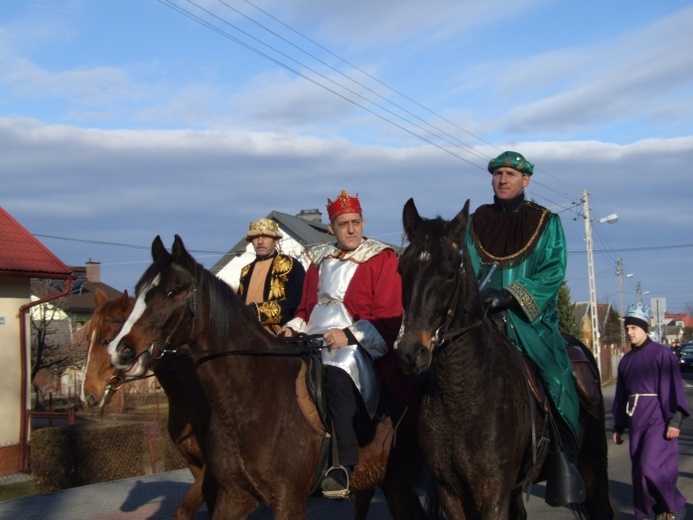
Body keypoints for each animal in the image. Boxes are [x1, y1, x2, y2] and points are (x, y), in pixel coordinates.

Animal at [103, 235, 428, 520]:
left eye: (172, 292)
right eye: (138, 289)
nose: (120, 350)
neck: (248, 398)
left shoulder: (288, 500)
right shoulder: (234, 495)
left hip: (398, 483)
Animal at [392, 199, 612, 520]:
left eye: (450, 272)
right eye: (402, 270)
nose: (411, 352)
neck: (462, 393)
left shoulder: (493, 493)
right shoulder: (449, 491)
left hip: (593, 465)